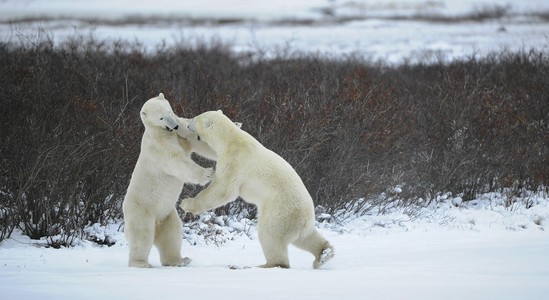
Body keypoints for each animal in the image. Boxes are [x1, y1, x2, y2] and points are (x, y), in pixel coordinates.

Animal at [123, 93, 213, 268]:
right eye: (161, 117)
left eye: (169, 111)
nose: (175, 126)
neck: (161, 132)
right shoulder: (158, 147)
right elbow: (177, 161)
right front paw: (208, 173)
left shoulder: (179, 135)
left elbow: (195, 141)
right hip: (141, 210)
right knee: (142, 235)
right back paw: (141, 263)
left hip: (167, 214)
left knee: (172, 233)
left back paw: (180, 260)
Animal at [180, 110, 334, 270]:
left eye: (194, 119)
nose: (188, 125)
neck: (231, 139)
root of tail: (306, 216)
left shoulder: (234, 161)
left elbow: (223, 189)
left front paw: (186, 204)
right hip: (299, 222)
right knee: (305, 237)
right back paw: (323, 254)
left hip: (280, 210)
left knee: (270, 234)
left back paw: (266, 265)